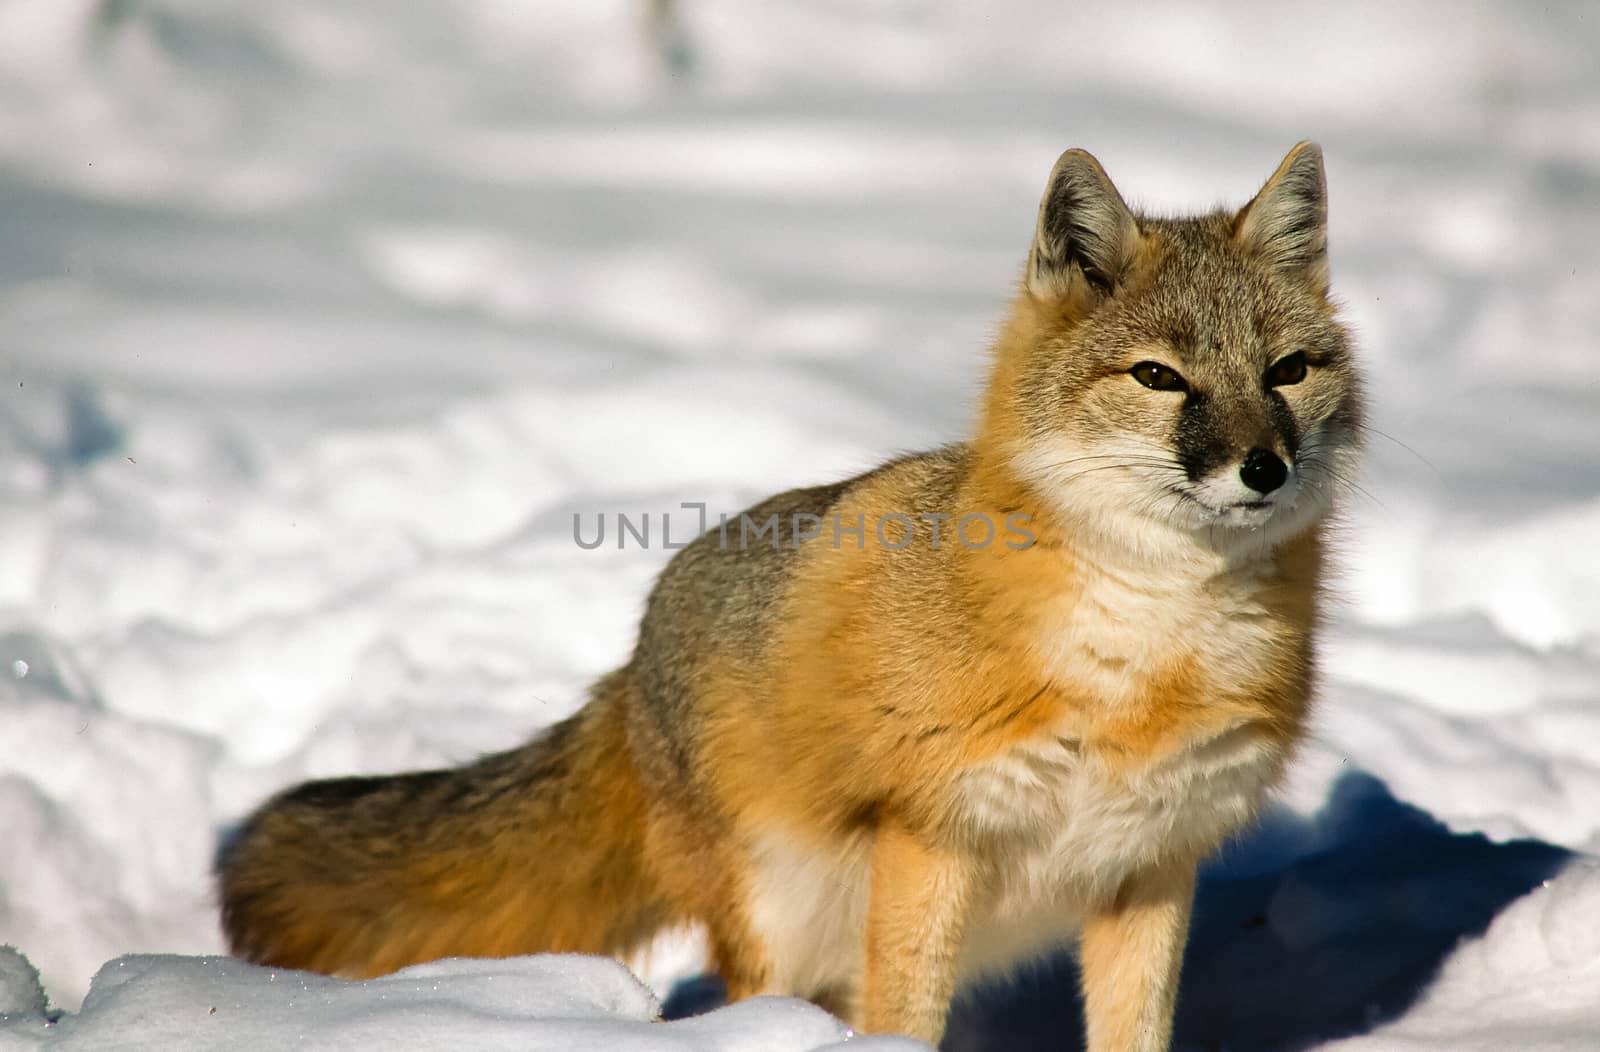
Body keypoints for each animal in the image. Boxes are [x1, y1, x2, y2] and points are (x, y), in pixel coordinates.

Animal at [216, 141, 1363, 1048]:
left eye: (1288, 371)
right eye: (1159, 378)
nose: (1261, 467)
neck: (1144, 654)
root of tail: (628, 667)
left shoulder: (1153, 865)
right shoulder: (931, 837)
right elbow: (907, 1019)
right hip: (781, 923)